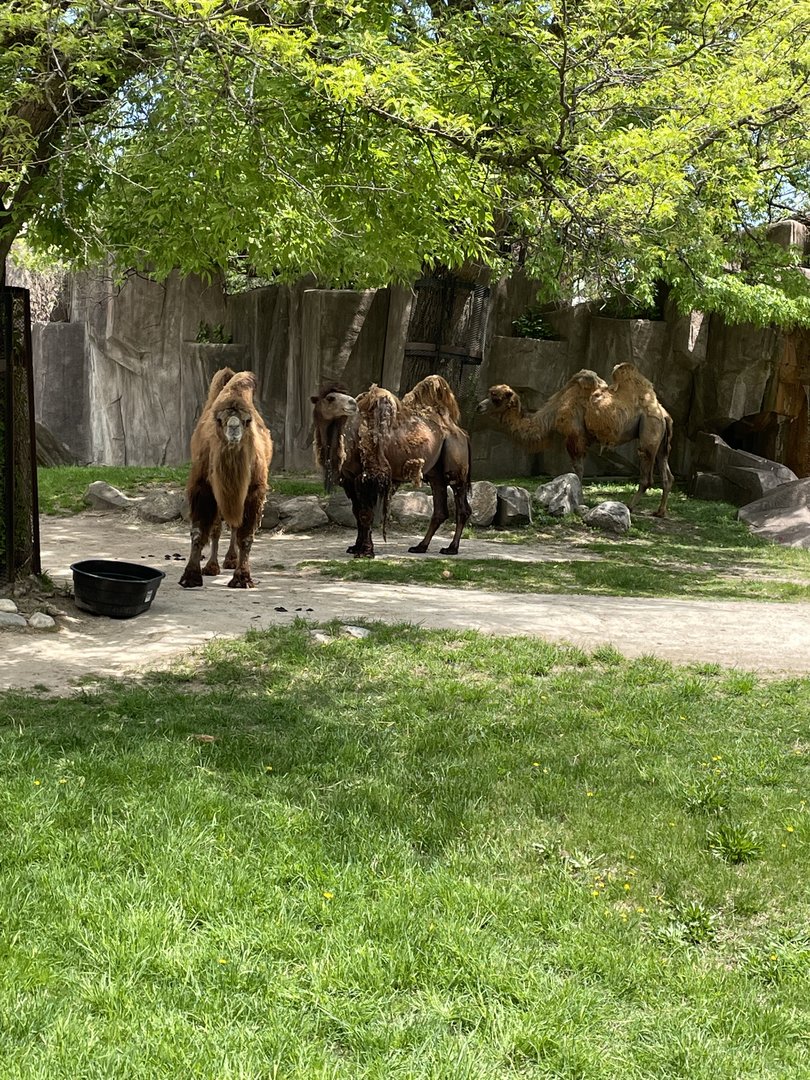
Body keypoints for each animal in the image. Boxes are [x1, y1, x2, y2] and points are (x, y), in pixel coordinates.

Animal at [179, 368, 273, 588]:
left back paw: (231, 560)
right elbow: (199, 531)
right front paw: (191, 575)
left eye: (247, 421)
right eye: (220, 420)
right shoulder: (204, 487)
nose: (234, 428)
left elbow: (245, 535)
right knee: (217, 527)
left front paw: (242, 578)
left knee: (234, 526)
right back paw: (212, 566)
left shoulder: (254, 490)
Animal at [311, 375, 472, 558]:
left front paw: (366, 551)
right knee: (440, 509)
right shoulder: (349, 479)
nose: (352, 403)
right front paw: (355, 547)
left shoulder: (367, 476)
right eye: (330, 398)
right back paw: (420, 546)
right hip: (434, 472)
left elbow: (366, 514)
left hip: (455, 462)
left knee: (461, 505)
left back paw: (451, 548)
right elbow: (357, 513)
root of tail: (461, 432)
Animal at [477, 362, 674, 516]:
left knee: (647, 474)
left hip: (649, 429)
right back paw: (660, 512)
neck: (555, 409)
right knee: (667, 474)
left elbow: (578, 469)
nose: (479, 407)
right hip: (661, 440)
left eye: (496, 399)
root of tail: (663, 414)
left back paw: (630, 507)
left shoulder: (574, 434)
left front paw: (578, 501)